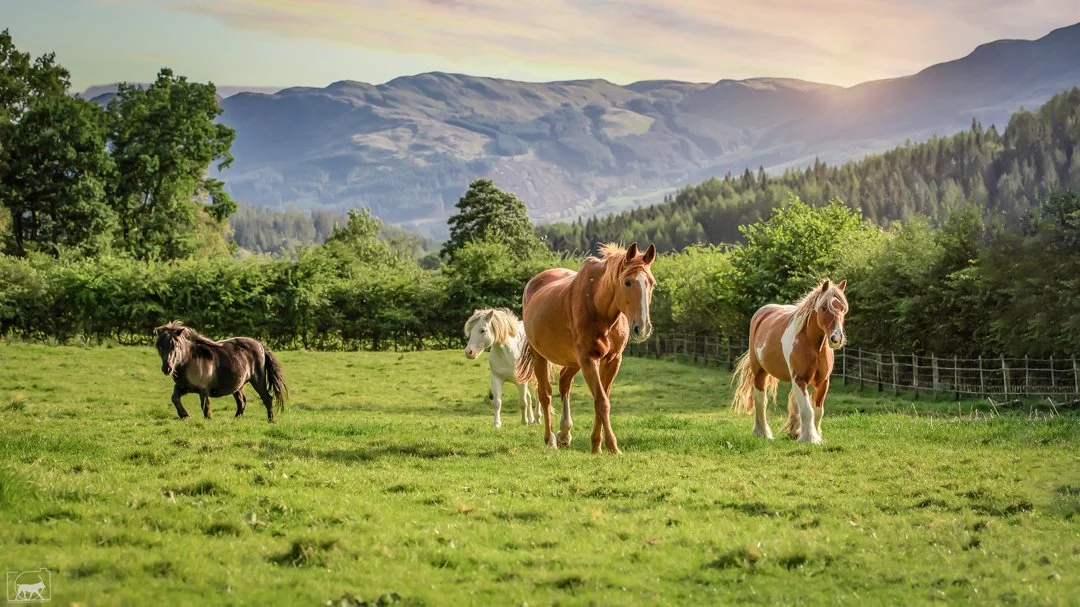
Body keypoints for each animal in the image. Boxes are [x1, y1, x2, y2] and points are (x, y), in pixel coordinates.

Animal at [154, 321, 288, 423]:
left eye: (175, 345)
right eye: (160, 346)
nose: (167, 368)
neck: (189, 360)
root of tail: (261, 346)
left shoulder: (203, 389)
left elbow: (205, 406)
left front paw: (207, 419)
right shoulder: (182, 387)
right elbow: (174, 398)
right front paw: (185, 416)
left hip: (258, 380)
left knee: (267, 398)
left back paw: (271, 420)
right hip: (238, 385)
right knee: (242, 401)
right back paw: (236, 419)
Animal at [514, 242, 657, 454]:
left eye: (652, 283)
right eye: (627, 282)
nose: (642, 328)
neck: (599, 308)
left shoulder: (612, 361)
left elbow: (602, 399)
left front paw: (596, 444)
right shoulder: (589, 360)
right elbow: (602, 402)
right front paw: (612, 446)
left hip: (573, 361)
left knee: (564, 383)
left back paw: (564, 433)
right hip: (539, 355)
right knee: (545, 394)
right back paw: (551, 439)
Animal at [730, 279, 848, 444]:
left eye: (843, 309)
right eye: (824, 308)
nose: (836, 339)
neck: (813, 346)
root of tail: (762, 312)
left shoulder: (823, 382)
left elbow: (818, 411)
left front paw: (815, 435)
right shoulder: (799, 379)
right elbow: (807, 409)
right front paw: (809, 438)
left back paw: (792, 431)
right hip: (760, 372)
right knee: (761, 402)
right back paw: (763, 433)